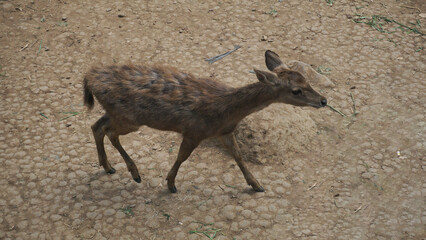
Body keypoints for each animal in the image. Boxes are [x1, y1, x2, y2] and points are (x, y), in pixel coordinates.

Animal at [82, 50, 326, 193]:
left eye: (306, 79)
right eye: (296, 90)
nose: (323, 100)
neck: (226, 110)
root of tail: (89, 76)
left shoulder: (225, 132)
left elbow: (238, 156)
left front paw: (257, 185)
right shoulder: (194, 131)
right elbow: (182, 157)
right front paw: (171, 184)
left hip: (117, 114)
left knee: (96, 125)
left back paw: (108, 166)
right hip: (129, 119)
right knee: (108, 131)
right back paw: (135, 174)